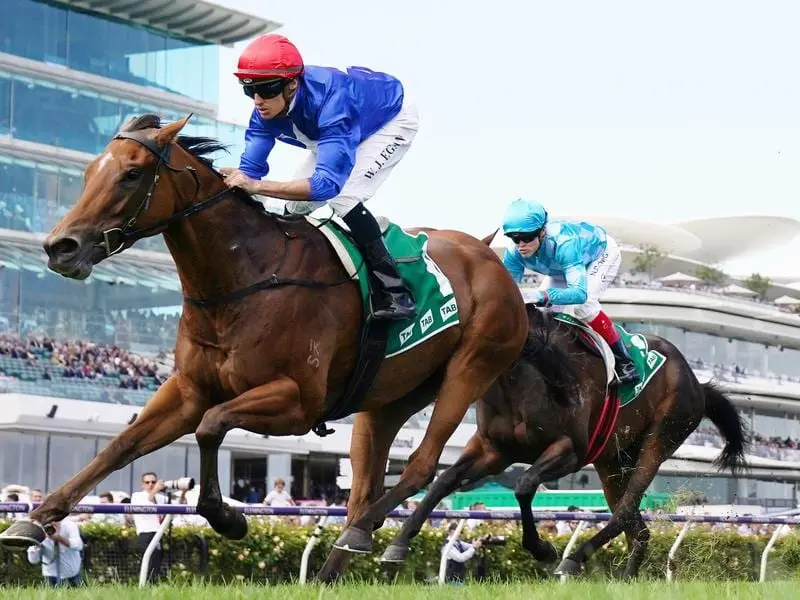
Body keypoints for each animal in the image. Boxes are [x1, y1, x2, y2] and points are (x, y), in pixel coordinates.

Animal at [1, 115, 536, 580]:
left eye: (132, 174)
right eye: (90, 171)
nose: (60, 247)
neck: (245, 278)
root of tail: (488, 253)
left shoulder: (298, 402)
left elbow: (211, 426)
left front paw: (228, 518)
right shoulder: (188, 389)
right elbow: (120, 445)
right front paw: (32, 520)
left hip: (472, 367)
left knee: (423, 464)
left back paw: (367, 538)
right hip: (390, 397)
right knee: (364, 487)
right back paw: (331, 568)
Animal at [378, 308, 748, 580]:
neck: (525, 378)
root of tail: (698, 383)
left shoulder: (569, 451)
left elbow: (525, 485)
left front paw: (542, 548)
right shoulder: (494, 451)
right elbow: (445, 481)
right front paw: (398, 543)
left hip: (661, 437)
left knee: (625, 510)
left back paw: (574, 559)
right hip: (613, 461)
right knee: (636, 527)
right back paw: (627, 578)